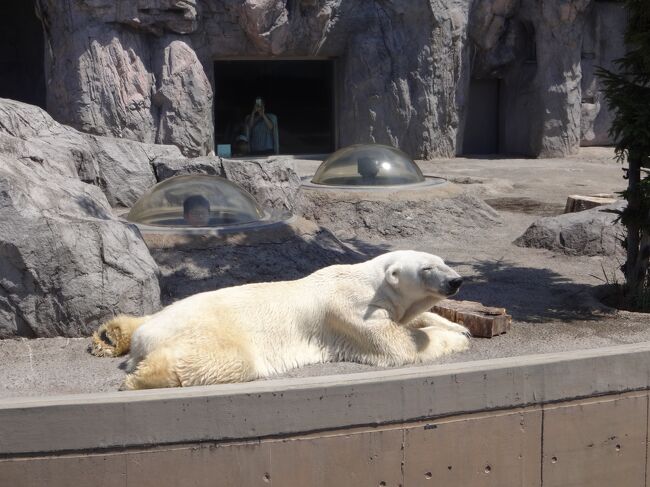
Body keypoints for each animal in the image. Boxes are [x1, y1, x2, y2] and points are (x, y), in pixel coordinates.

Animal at [90, 252, 466, 392]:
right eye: (427, 268)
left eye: (445, 261)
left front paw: (458, 325)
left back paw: (110, 335)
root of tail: (145, 340)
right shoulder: (354, 311)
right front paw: (458, 338)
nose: (456, 281)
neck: (370, 281)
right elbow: (400, 346)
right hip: (204, 330)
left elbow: (414, 320)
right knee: (226, 360)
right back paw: (143, 377)